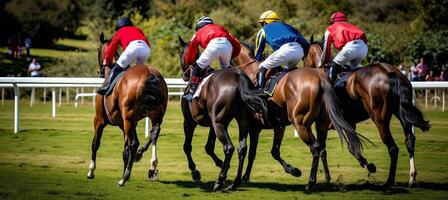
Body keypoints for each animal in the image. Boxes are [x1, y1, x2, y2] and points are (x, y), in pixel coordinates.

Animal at [86, 32, 169, 187]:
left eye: (98, 50)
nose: (99, 71)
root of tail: (150, 74)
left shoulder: (99, 119)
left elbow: (95, 144)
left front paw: (91, 171)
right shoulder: (126, 124)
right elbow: (125, 150)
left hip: (128, 118)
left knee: (134, 144)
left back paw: (124, 178)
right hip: (153, 115)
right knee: (154, 133)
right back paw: (151, 165)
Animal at [178, 36, 270, 191]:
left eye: (180, 54)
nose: (185, 76)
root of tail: (239, 78)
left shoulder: (190, 122)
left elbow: (187, 147)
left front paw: (195, 172)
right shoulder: (212, 124)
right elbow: (209, 147)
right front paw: (221, 165)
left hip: (219, 124)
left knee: (229, 147)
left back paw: (219, 181)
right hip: (242, 121)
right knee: (242, 148)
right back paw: (235, 182)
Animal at [233, 41, 370, 191]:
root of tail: (320, 78)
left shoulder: (254, 127)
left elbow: (253, 153)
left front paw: (245, 178)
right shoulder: (278, 126)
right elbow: (274, 151)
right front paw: (294, 170)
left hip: (300, 124)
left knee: (316, 147)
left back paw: (311, 183)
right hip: (321, 123)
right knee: (323, 147)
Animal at [304, 38, 430, 188]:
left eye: (304, 56)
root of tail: (389, 73)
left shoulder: (329, 123)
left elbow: (331, 149)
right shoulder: (349, 123)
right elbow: (348, 147)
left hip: (380, 120)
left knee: (393, 148)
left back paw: (389, 181)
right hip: (402, 115)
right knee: (409, 140)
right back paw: (412, 178)